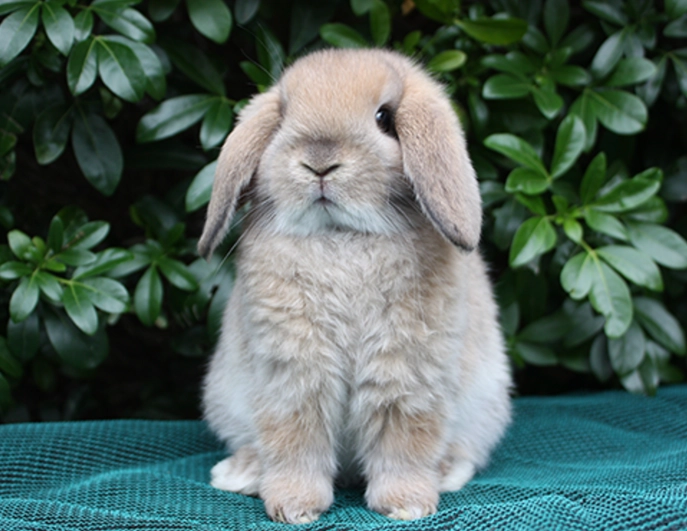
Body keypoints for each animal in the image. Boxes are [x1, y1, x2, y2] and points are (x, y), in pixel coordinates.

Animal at [199, 48, 512, 524]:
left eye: (384, 118)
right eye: (283, 116)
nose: (319, 162)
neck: (341, 237)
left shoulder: (407, 376)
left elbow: (404, 441)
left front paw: (406, 506)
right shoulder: (292, 375)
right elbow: (294, 441)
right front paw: (295, 508)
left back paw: (446, 473)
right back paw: (241, 473)